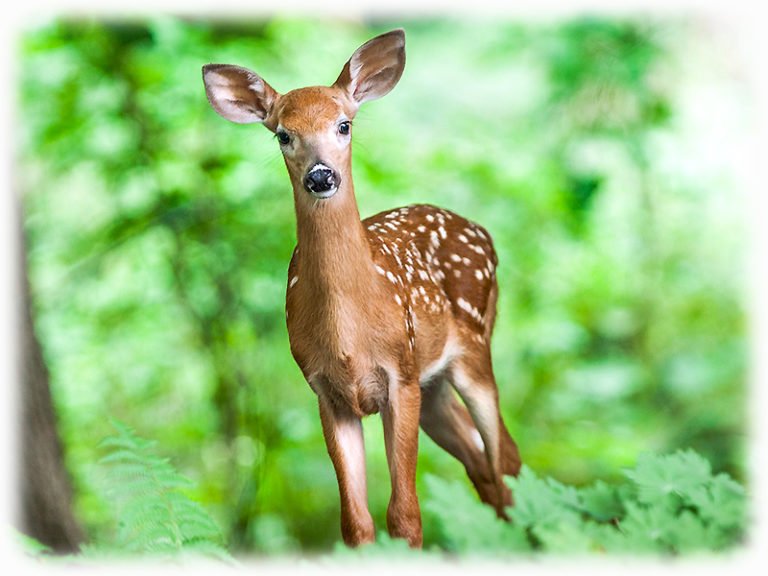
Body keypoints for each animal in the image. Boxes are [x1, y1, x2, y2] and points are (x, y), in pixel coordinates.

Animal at [202, 28, 521, 549]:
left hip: (472, 347)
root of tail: (482, 232)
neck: (350, 334)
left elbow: (405, 516)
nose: (320, 175)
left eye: (344, 125)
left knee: (505, 458)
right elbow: (355, 522)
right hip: (434, 385)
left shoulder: (400, 374)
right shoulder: (326, 391)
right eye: (283, 134)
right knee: (482, 464)